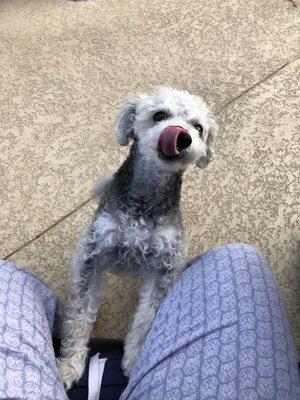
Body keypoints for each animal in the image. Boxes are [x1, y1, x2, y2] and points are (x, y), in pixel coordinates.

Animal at [57, 86, 218, 390]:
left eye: (198, 127)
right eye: (160, 115)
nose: (183, 136)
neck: (144, 203)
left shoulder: (163, 267)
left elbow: (145, 320)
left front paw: (133, 360)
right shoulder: (92, 255)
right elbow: (80, 316)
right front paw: (70, 364)